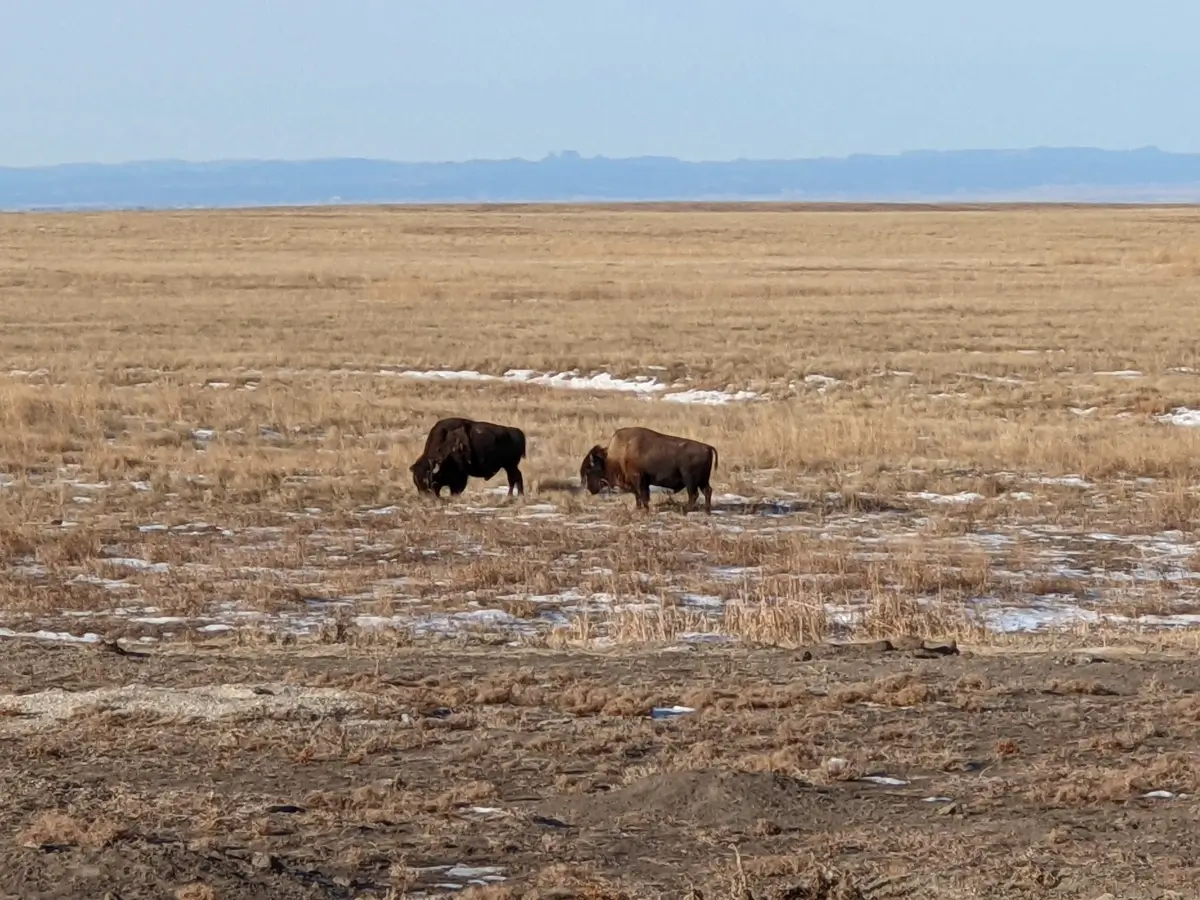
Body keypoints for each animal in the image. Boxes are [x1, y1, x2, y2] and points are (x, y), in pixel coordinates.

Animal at [580, 426, 718, 513]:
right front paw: (639, 508)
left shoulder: (639, 479)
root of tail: (708, 447)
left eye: (588, 470)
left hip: (690, 480)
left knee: (694, 495)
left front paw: (645, 509)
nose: (589, 488)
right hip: (702, 481)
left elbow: (643, 495)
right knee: (707, 491)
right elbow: (638, 496)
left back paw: (685, 510)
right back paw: (707, 511)